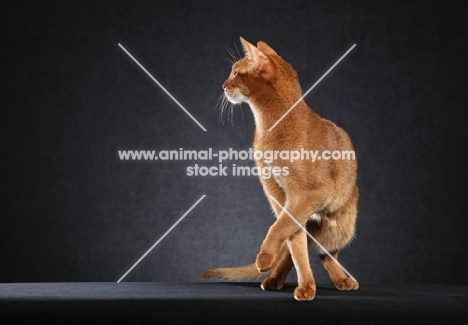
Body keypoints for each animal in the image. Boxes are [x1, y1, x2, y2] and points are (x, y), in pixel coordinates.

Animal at [201, 38, 358, 302]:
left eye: (235, 73)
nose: (223, 85)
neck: (269, 125)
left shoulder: (311, 193)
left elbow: (280, 228)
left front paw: (266, 258)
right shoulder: (277, 193)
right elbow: (293, 243)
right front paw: (305, 285)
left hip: (340, 224)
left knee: (326, 254)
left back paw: (343, 280)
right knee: (298, 246)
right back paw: (274, 279)